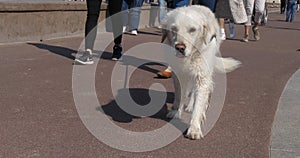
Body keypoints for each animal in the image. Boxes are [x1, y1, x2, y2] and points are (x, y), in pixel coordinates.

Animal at [162, 5, 241, 140]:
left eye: (192, 30)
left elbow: (198, 105)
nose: (180, 48)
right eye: (174, 29)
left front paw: (194, 129)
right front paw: (176, 111)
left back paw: (190, 107)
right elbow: (180, 95)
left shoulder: (202, 78)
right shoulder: (178, 75)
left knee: (194, 93)